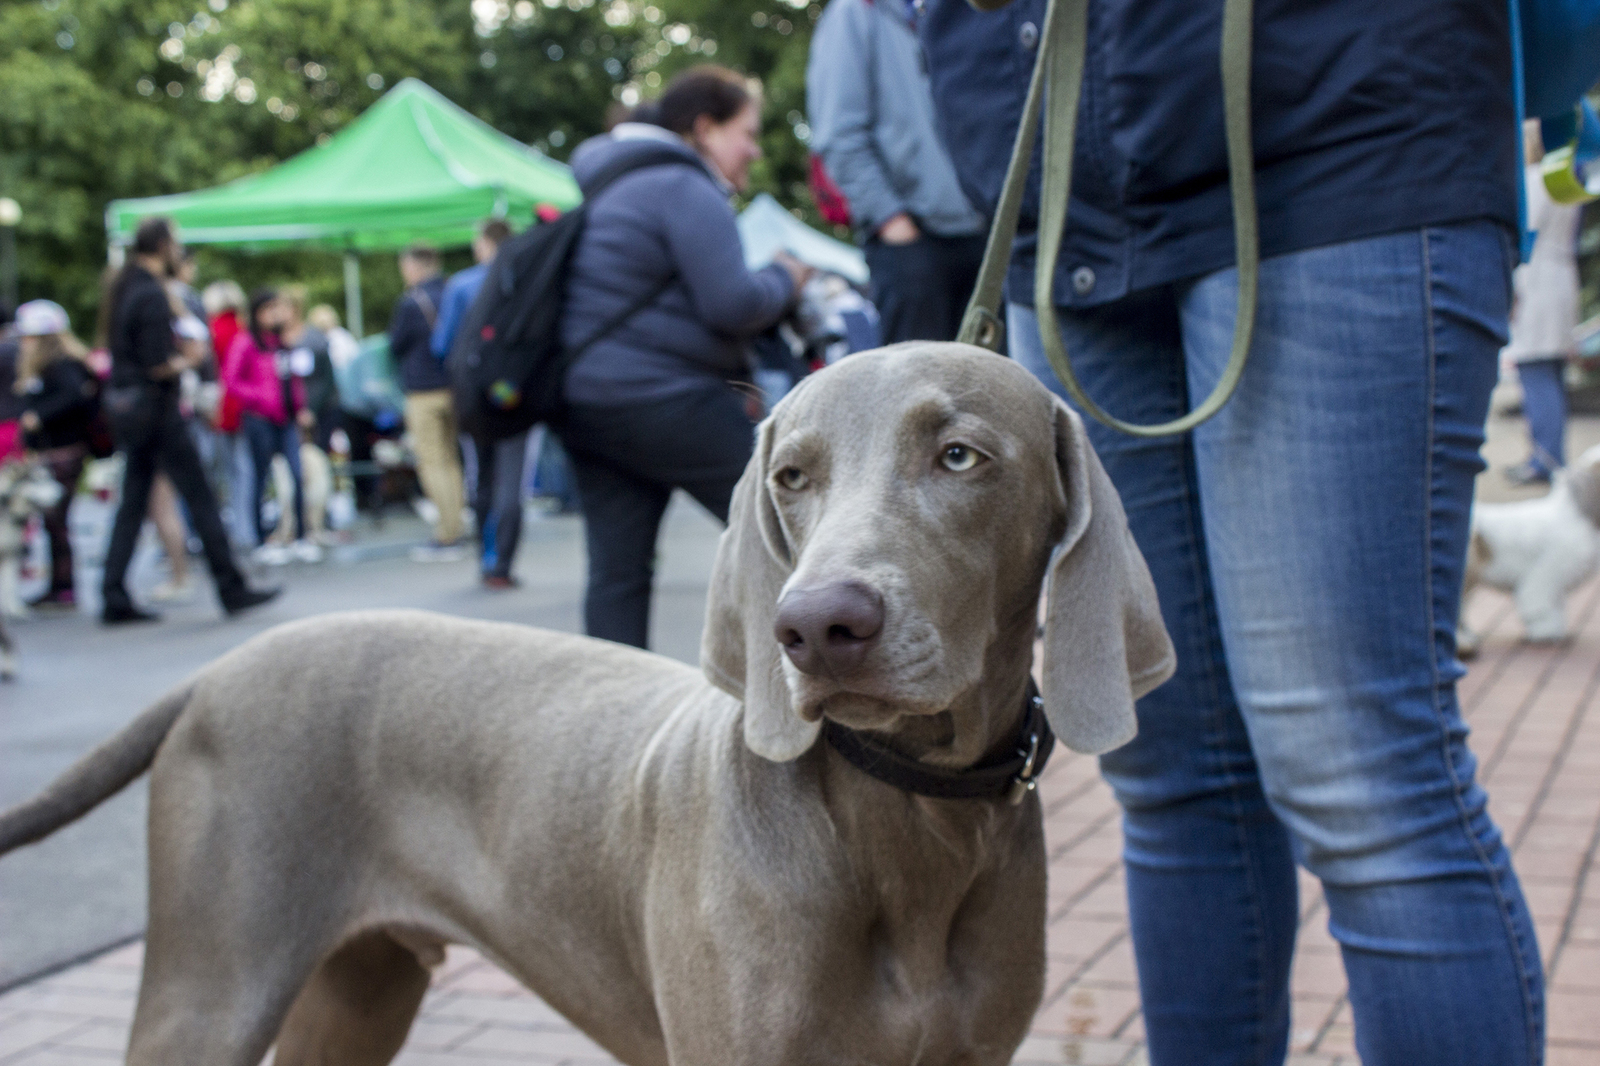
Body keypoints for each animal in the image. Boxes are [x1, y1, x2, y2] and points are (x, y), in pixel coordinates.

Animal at [3, 344, 1177, 1056]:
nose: (815, 626)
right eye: (791, 477)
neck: (907, 821)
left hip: (360, 983)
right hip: (211, 985)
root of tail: (212, 674)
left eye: (960, 455)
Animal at [1465, 441, 1600, 646]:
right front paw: (1545, 632)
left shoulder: (1554, 585)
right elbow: (1540, 607)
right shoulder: (1545, 575)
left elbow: (1555, 608)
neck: (1575, 512)